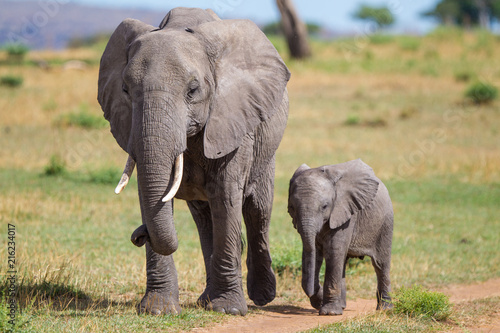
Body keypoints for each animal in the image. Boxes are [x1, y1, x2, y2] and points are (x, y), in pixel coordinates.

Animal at [96, 6, 290, 316]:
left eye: (193, 90)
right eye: (125, 89)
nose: (139, 235)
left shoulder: (233, 121)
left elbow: (226, 195)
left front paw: (228, 310)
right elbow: (148, 194)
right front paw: (158, 310)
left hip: (264, 149)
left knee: (257, 210)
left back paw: (261, 297)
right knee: (204, 219)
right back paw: (205, 301)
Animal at [290, 158, 394, 314]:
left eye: (325, 206)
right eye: (292, 208)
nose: (316, 298)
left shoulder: (346, 214)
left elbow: (333, 253)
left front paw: (329, 312)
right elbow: (314, 254)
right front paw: (324, 304)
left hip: (385, 223)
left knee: (381, 264)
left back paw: (385, 309)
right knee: (343, 263)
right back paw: (343, 306)